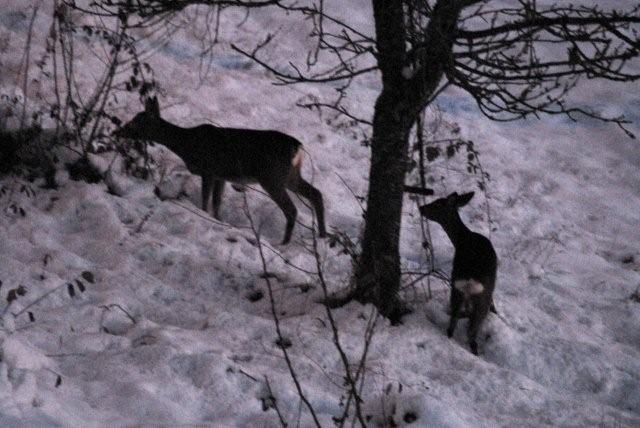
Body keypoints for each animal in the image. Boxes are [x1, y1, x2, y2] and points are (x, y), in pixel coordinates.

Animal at [114, 97, 324, 244]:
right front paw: (218, 221)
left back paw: (284, 243)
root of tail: (298, 147)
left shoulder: (209, 170)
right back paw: (322, 235)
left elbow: (206, 200)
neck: (186, 144)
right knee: (316, 193)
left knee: (291, 209)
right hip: (290, 176)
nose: (119, 131)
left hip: (272, 177)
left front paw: (204, 216)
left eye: (135, 122)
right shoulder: (221, 175)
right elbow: (216, 202)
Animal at [420, 192, 500, 356]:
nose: (421, 208)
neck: (463, 237)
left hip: (457, 290)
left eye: (437, 204)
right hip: (477, 297)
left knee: (455, 323)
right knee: (470, 333)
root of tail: (470, 280)